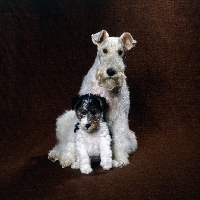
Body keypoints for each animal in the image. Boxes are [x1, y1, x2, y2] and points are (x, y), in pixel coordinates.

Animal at [48, 30, 138, 167]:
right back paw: (56, 154)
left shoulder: (120, 117)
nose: (111, 72)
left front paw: (121, 159)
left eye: (120, 52)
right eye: (104, 50)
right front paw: (69, 159)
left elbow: (119, 140)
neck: (105, 89)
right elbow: (73, 141)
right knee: (63, 144)